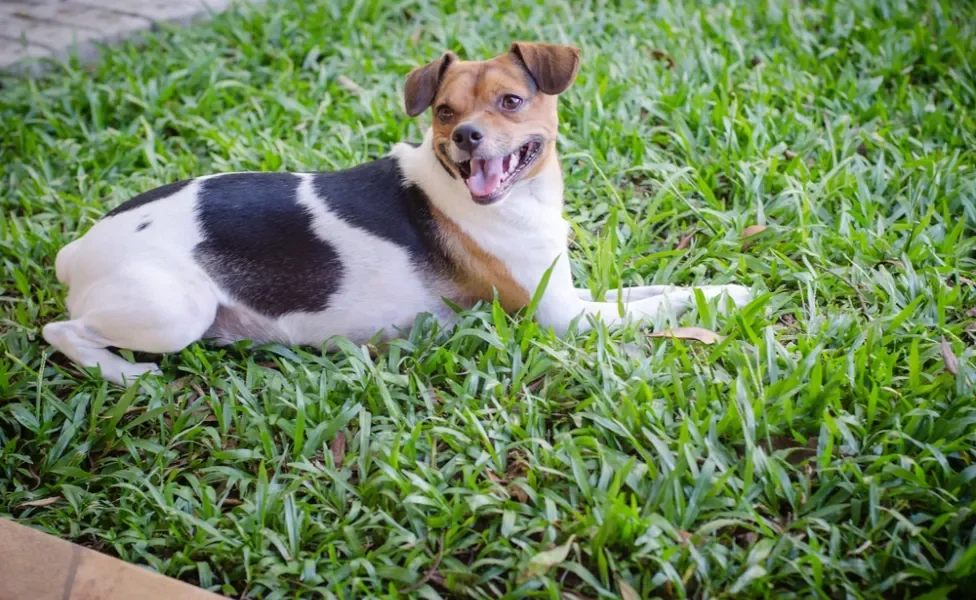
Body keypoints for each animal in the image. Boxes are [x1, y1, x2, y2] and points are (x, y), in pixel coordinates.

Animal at [42, 44, 752, 386]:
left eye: (511, 101)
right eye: (443, 111)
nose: (466, 136)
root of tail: (77, 250)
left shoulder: (572, 294)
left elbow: (653, 290)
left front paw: (719, 289)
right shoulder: (560, 318)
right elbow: (658, 304)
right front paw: (733, 296)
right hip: (173, 311)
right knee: (61, 331)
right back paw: (125, 375)